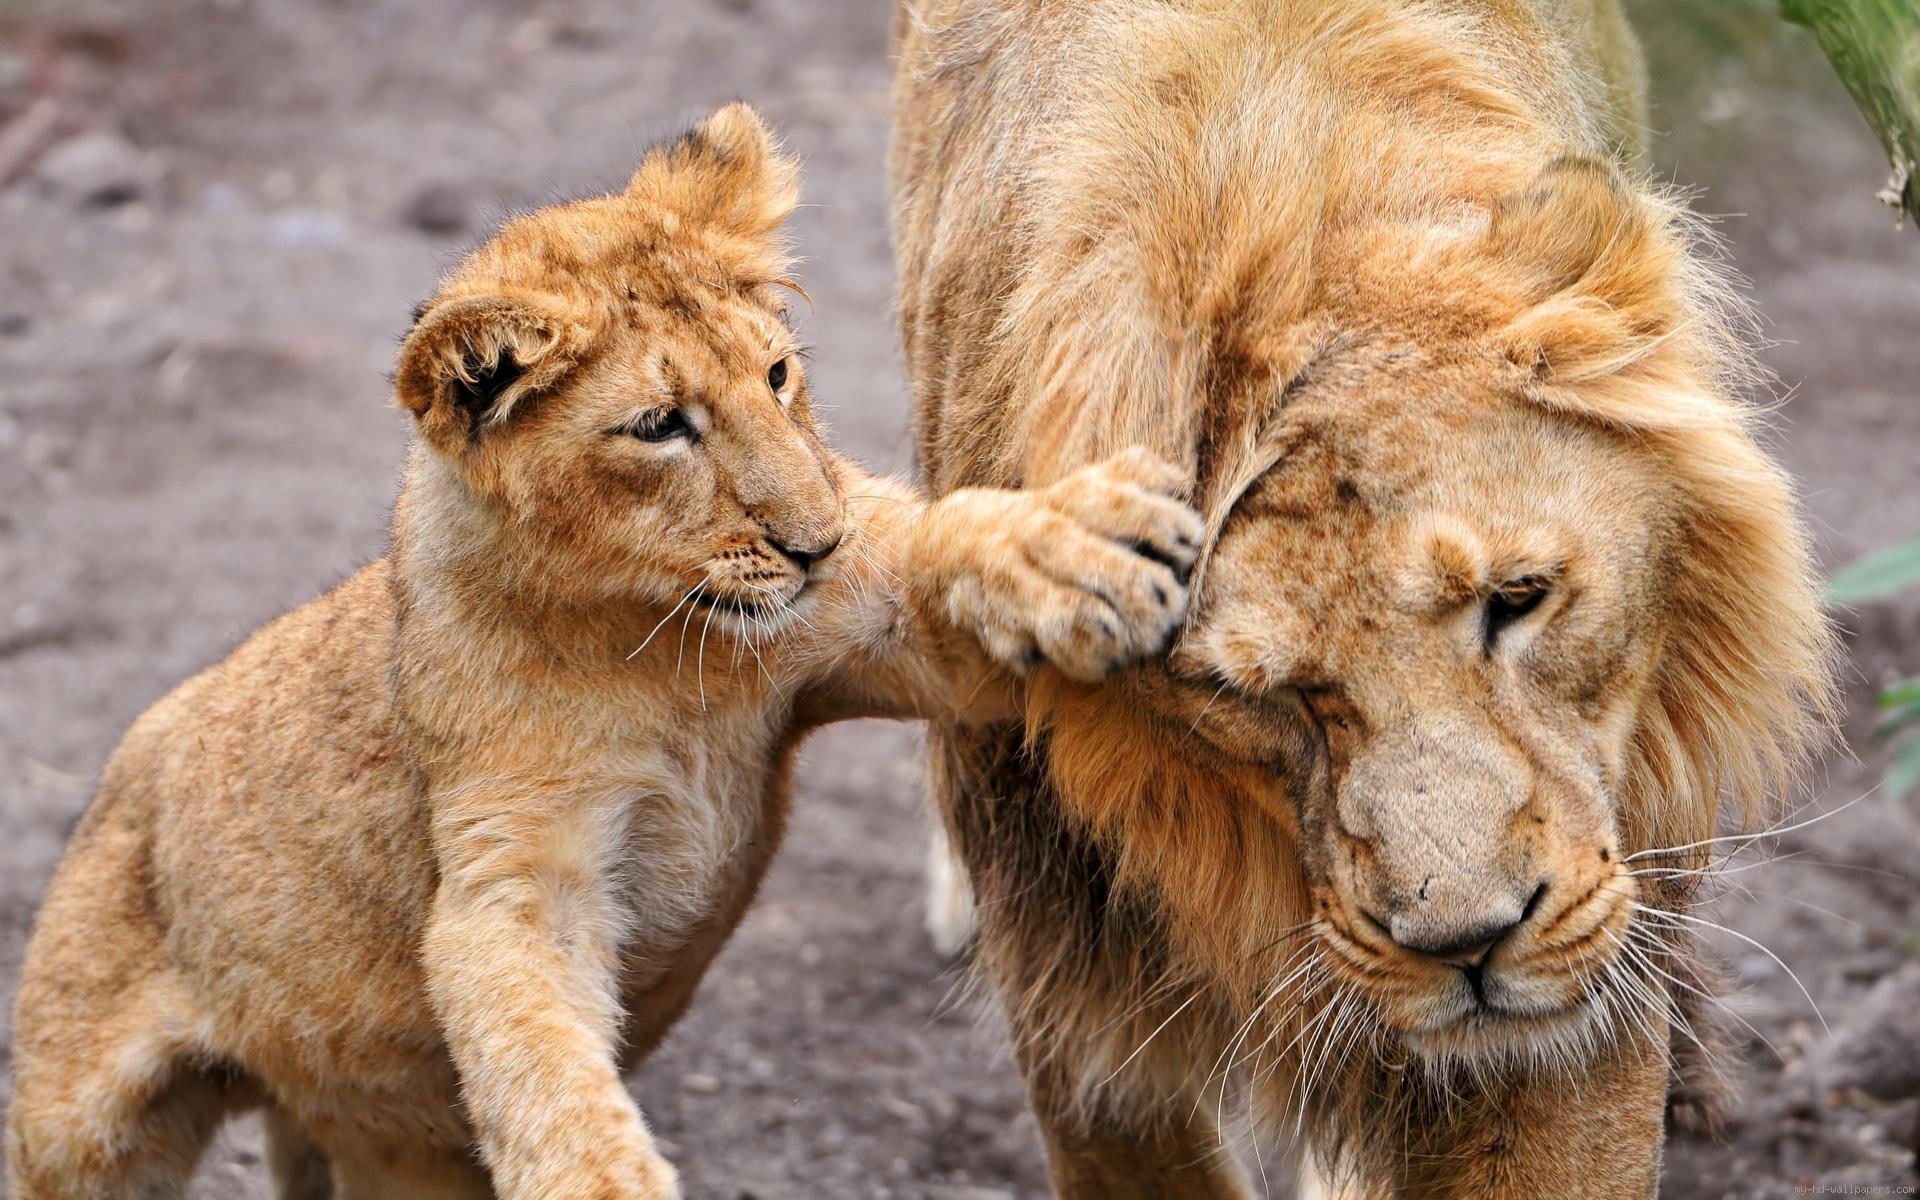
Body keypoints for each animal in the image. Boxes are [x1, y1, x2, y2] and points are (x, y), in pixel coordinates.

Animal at [4, 103, 1206, 1199]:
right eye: (660, 425)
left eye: (778, 375)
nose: (817, 544)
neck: (655, 649)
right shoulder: (512, 873)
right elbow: (543, 1067)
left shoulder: (860, 640)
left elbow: (943, 547)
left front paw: (1076, 545)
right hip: (78, 1120)